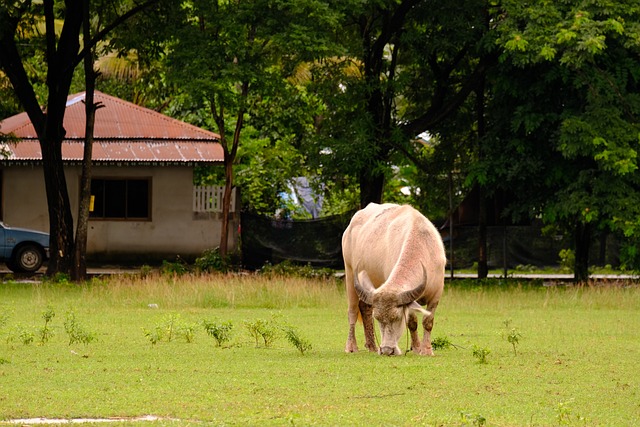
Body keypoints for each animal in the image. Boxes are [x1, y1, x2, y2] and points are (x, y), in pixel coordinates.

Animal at [340, 202, 444, 356]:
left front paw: (426, 350)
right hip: (350, 273)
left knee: (365, 308)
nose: (387, 350)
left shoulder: (436, 294)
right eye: (378, 319)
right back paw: (351, 346)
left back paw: (372, 346)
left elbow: (428, 321)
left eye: (397, 318)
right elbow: (412, 322)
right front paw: (417, 347)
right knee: (352, 312)